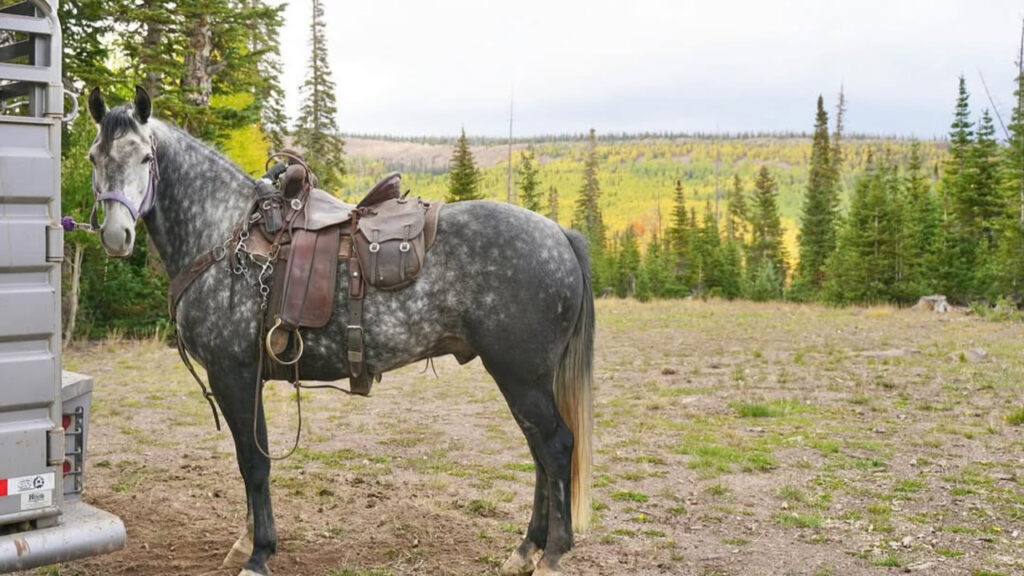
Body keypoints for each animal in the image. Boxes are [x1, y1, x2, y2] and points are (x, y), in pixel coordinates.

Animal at [85, 86, 594, 576]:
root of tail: (559, 234)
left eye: (145, 158)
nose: (115, 235)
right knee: (540, 454)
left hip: (521, 377)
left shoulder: (233, 373)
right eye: (95, 158)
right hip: (524, 380)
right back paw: (526, 550)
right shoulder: (246, 378)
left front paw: (259, 555)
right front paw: (245, 542)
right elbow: (250, 457)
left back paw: (551, 556)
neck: (224, 236)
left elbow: (254, 461)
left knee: (555, 448)